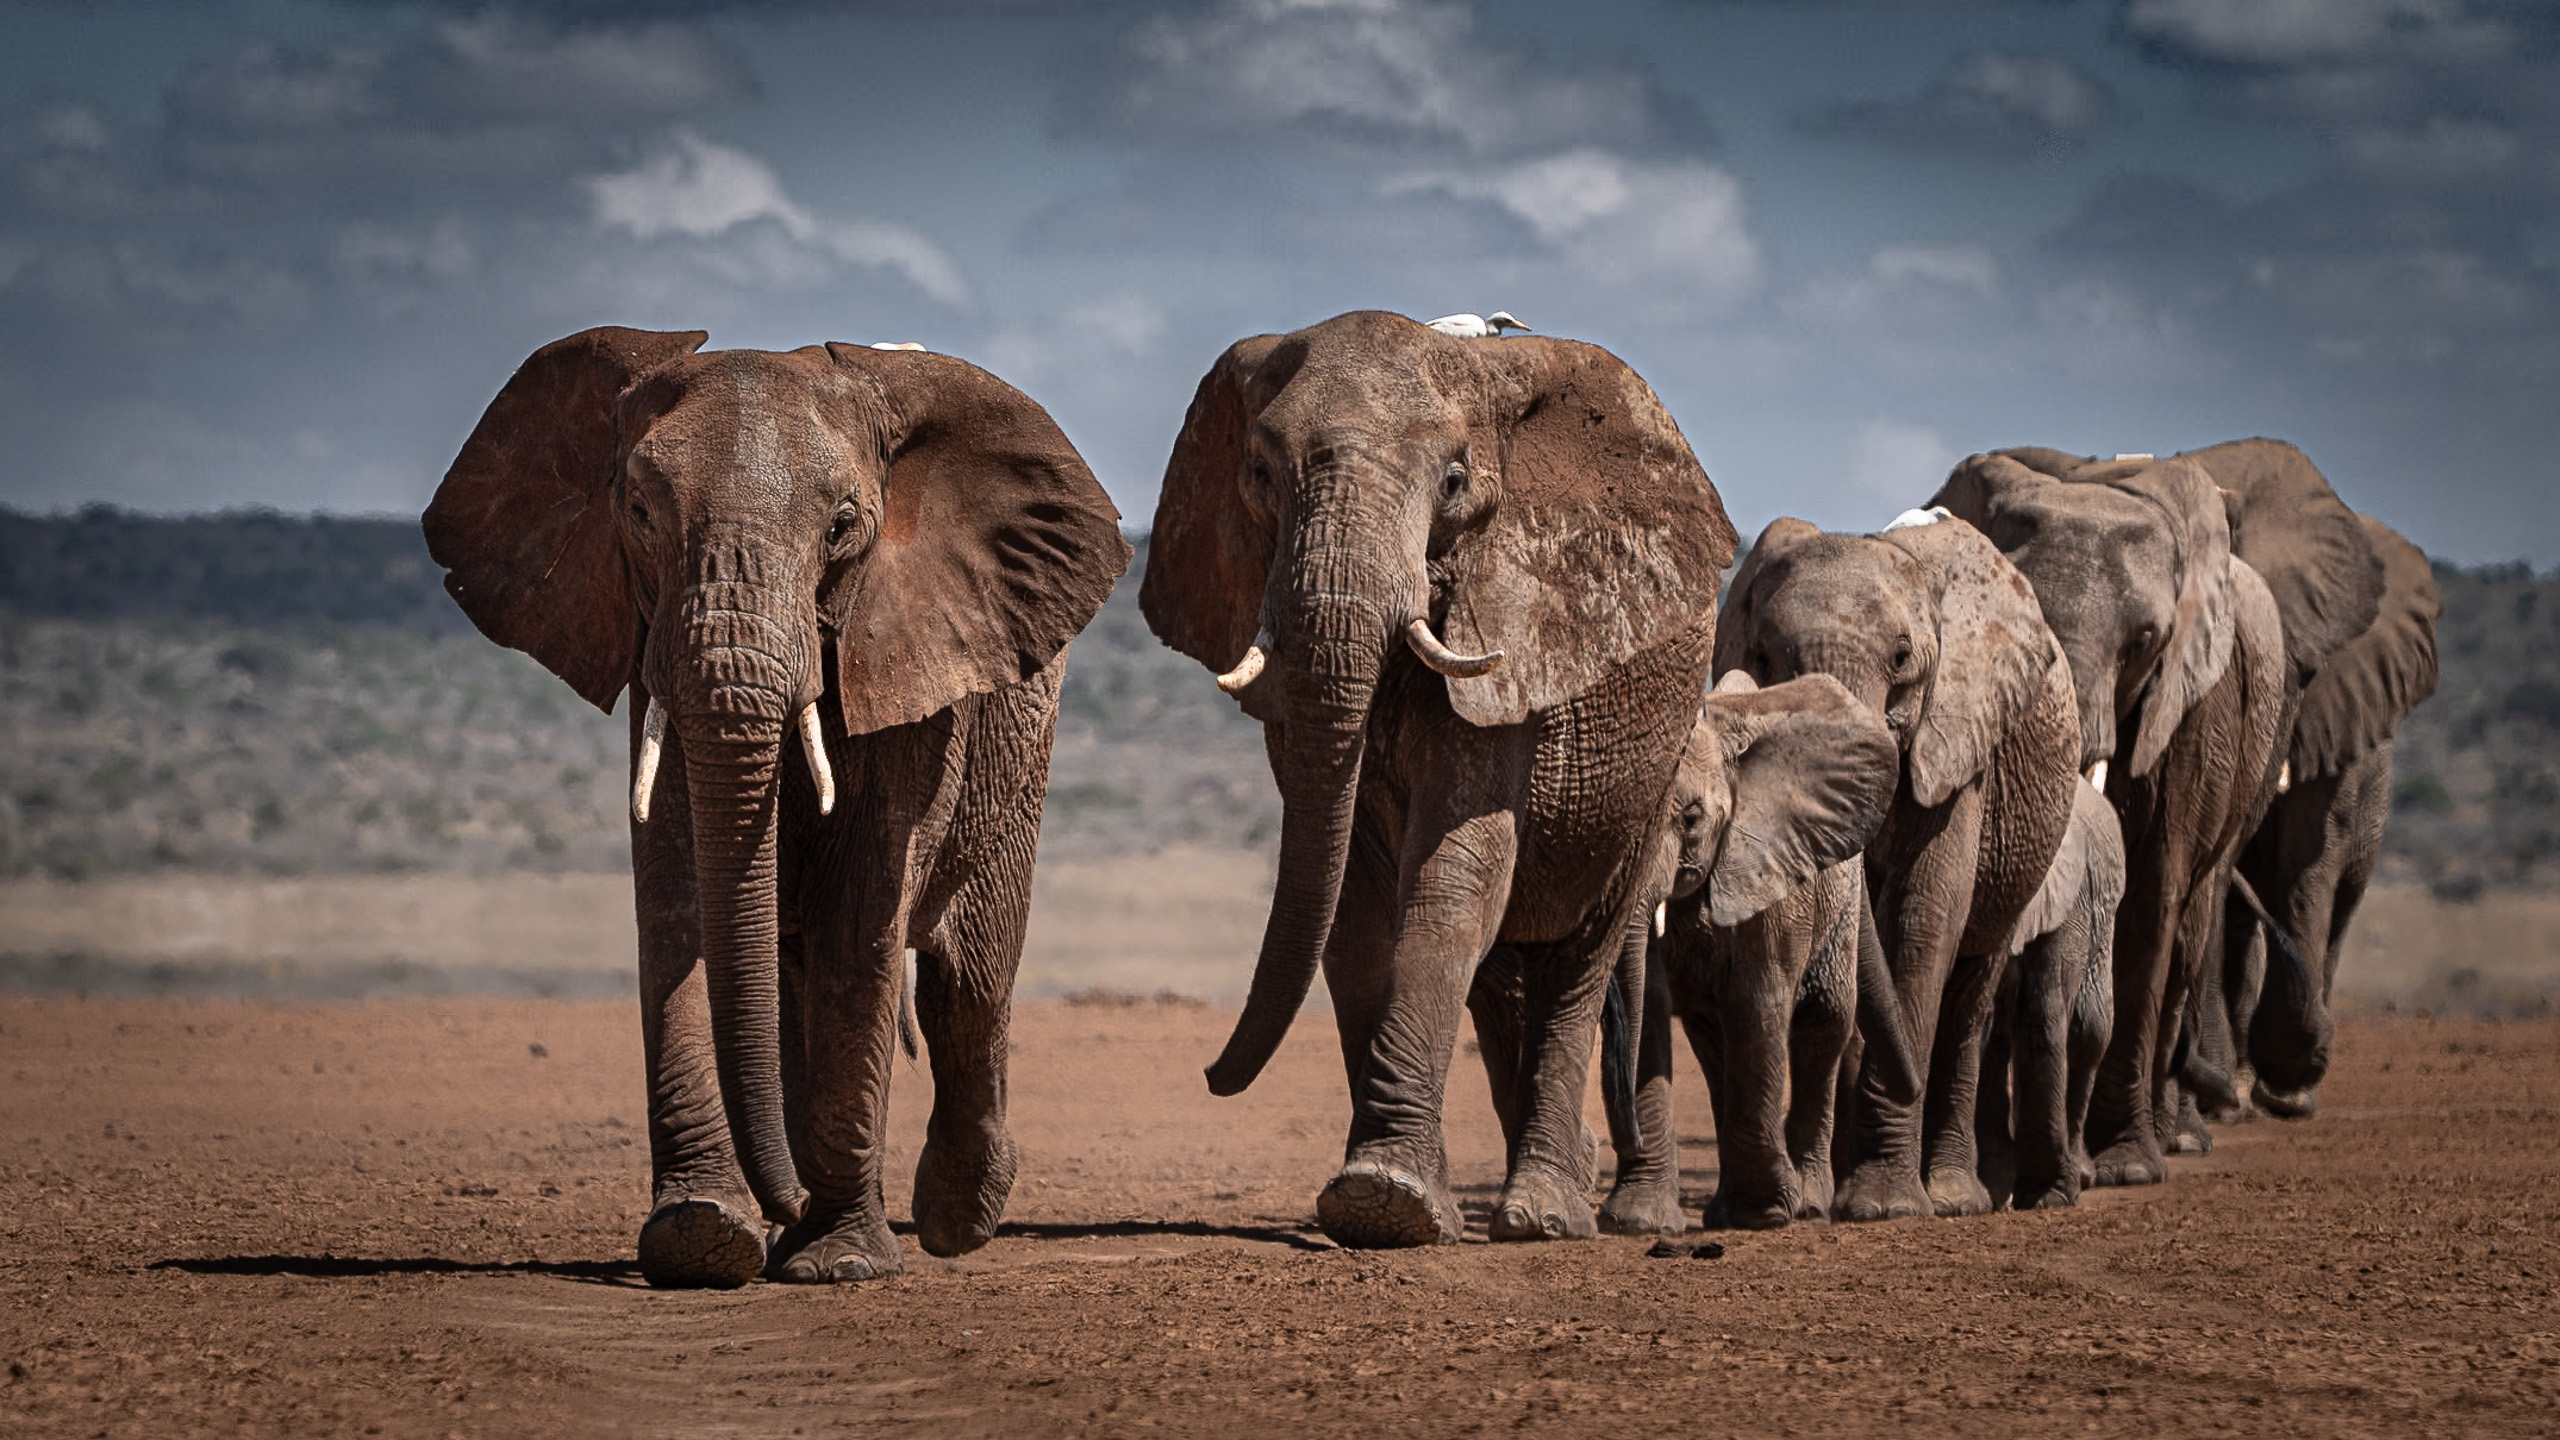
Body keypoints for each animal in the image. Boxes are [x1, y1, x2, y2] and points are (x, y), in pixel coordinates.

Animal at [422, 326, 1129, 1287]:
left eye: (842, 527)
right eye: (637, 513)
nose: (782, 1208)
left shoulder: (911, 647)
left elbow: (862, 912)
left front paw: (837, 1264)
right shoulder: (647, 649)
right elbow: (678, 899)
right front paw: (702, 1236)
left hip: (1019, 750)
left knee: (968, 979)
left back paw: (955, 1219)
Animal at [1140, 310, 1737, 1248]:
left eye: (1455, 480)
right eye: (1259, 473)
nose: (1208, 1076)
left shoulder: (1512, 639)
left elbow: (1455, 875)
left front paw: (1387, 1199)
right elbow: (1351, 902)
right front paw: (1381, 1201)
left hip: (1657, 773)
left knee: (1582, 961)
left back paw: (1545, 1218)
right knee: (1501, 979)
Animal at [1592, 671, 1909, 1235]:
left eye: (1691, 818)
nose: (1626, 1142)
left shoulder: (1772, 873)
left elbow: (1757, 1002)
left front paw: (1765, 1214)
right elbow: (1652, 1001)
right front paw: (1637, 1224)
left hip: (1842, 902)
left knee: (1824, 1022)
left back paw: (1807, 1204)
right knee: (1714, 1040)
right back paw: (1728, 1210)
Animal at [1714, 509, 2080, 1221]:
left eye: (1903, 658)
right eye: (1764, 658)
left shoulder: (1960, 745)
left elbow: (1921, 914)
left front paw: (1887, 1208)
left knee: (1970, 994)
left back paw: (1954, 1196)